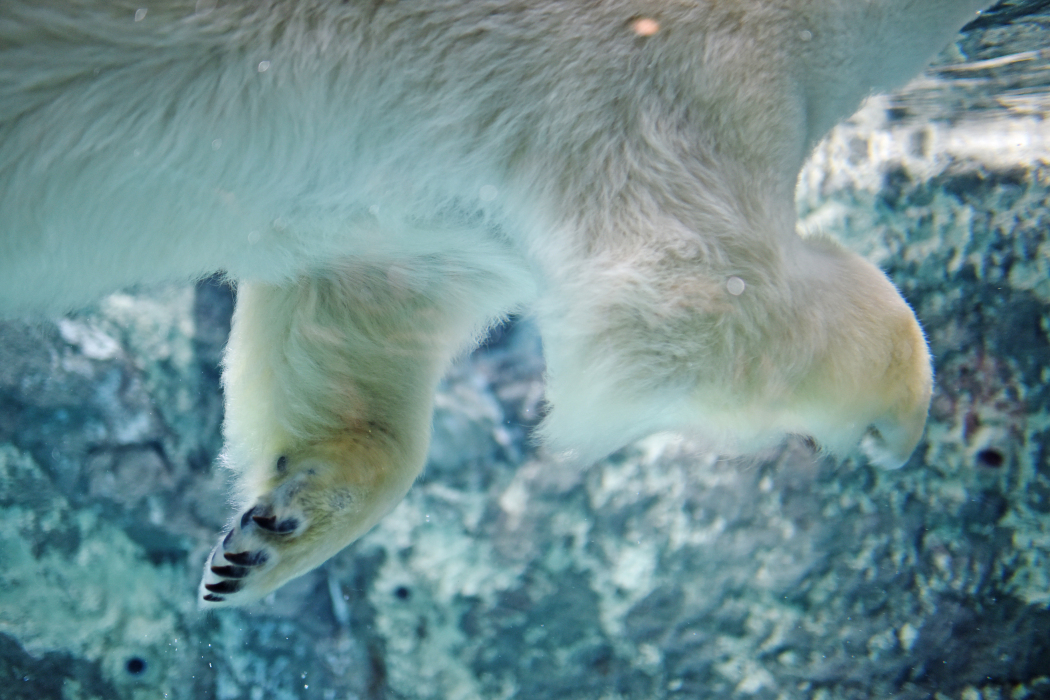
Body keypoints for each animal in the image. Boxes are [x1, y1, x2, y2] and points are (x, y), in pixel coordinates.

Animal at [0, 0, 991, 604]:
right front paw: (900, 407)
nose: (903, 449)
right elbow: (698, 293)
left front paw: (279, 527)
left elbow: (361, 301)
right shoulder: (674, 67)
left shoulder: (416, 202)